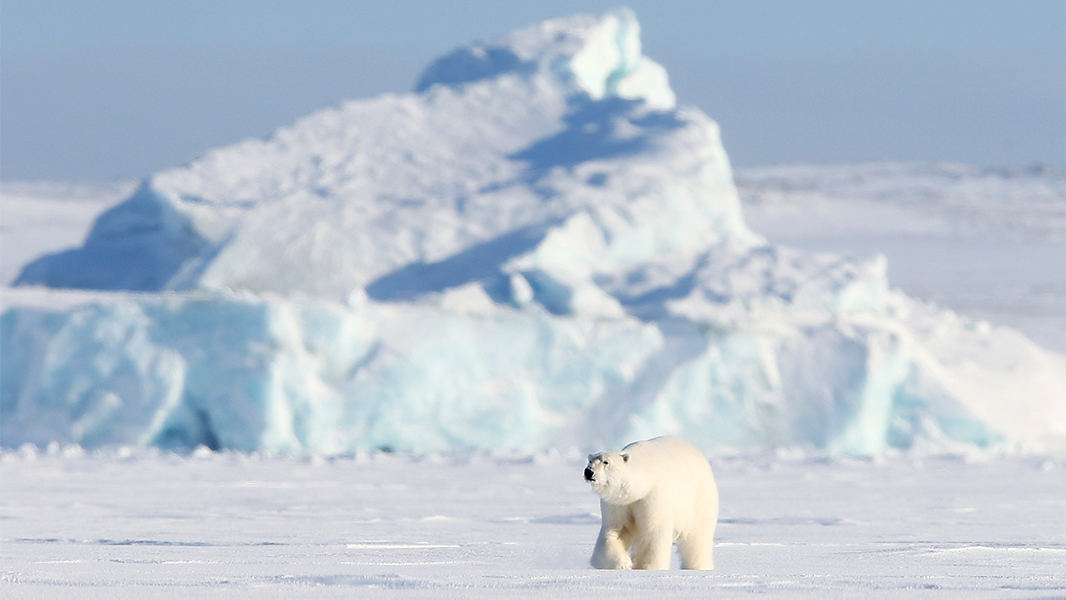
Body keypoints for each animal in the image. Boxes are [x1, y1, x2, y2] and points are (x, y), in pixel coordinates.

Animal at [584, 434, 716, 571]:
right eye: (590, 461)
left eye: (606, 462)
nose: (588, 472)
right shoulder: (619, 503)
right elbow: (617, 529)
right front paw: (623, 563)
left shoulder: (653, 494)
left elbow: (653, 530)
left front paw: (648, 567)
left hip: (700, 496)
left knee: (698, 538)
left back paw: (698, 566)